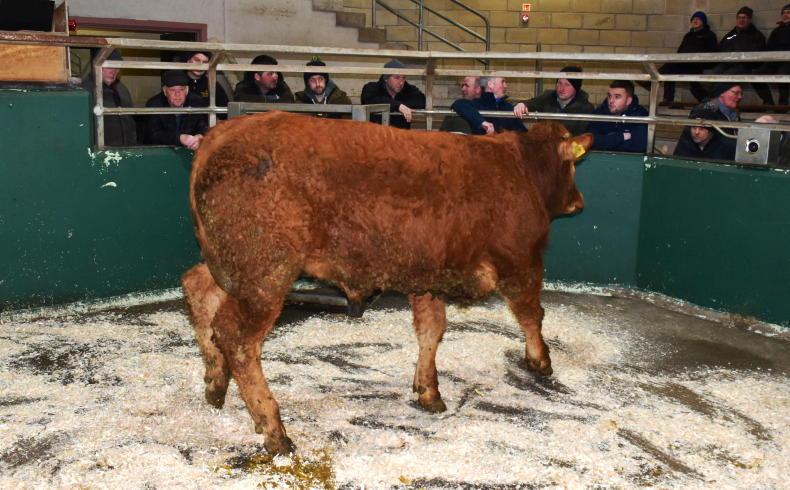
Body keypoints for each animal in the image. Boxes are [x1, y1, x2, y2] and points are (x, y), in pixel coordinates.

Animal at [181, 111, 592, 455]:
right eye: (573, 164)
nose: (580, 202)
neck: (522, 168)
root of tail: (221, 134)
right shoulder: (521, 261)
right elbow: (531, 314)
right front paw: (540, 360)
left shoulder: (428, 277)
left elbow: (431, 330)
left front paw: (428, 390)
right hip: (265, 275)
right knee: (236, 336)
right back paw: (274, 431)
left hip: (229, 265)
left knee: (198, 290)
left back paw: (215, 384)